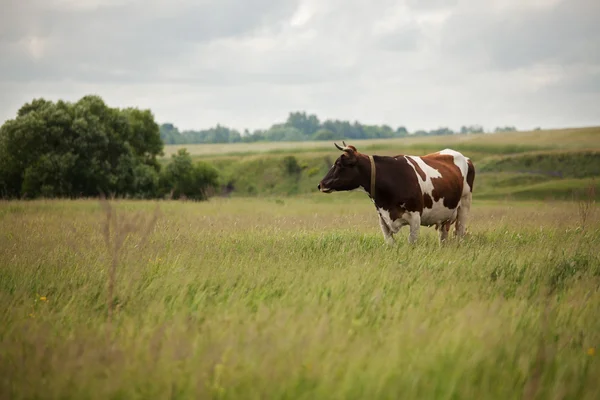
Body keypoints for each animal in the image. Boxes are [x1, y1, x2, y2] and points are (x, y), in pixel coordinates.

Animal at [316, 142, 476, 245]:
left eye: (339, 164)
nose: (321, 184)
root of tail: (464, 157)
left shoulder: (415, 217)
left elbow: (411, 243)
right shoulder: (382, 218)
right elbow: (390, 243)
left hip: (464, 205)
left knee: (460, 232)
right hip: (445, 217)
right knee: (443, 236)